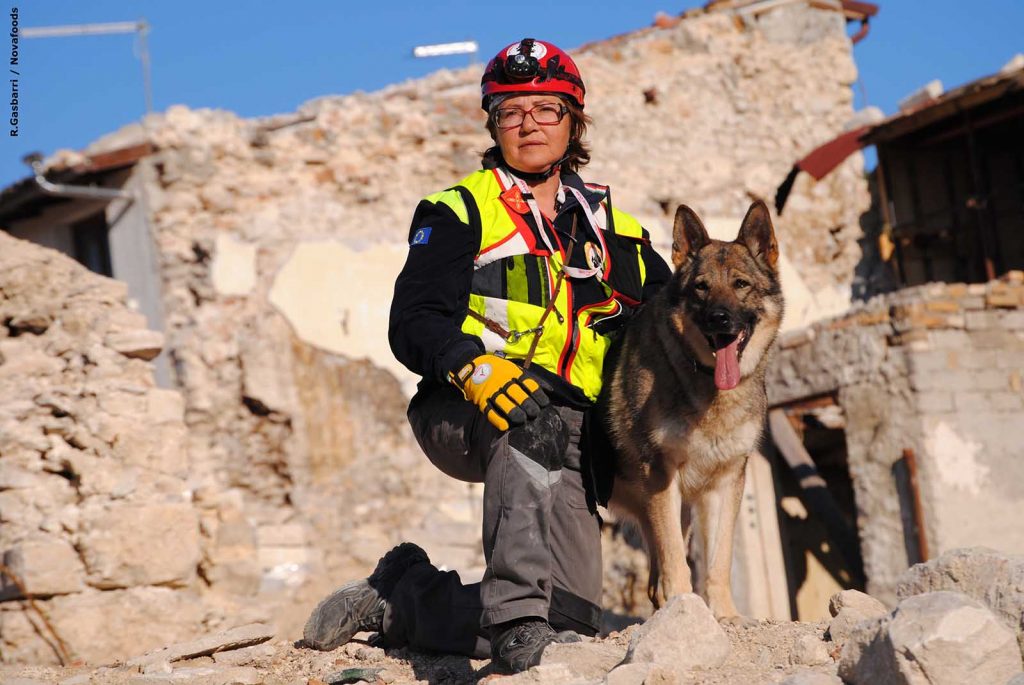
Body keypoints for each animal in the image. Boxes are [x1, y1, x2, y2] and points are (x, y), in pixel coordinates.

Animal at [602, 197, 778, 618]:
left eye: (741, 285)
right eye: (701, 288)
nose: (719, 319)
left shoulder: (726, 482)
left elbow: (717, 563)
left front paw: (726, 617)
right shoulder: (661, 476)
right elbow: (677, 564)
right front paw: (684, 610)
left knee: (653, 585)